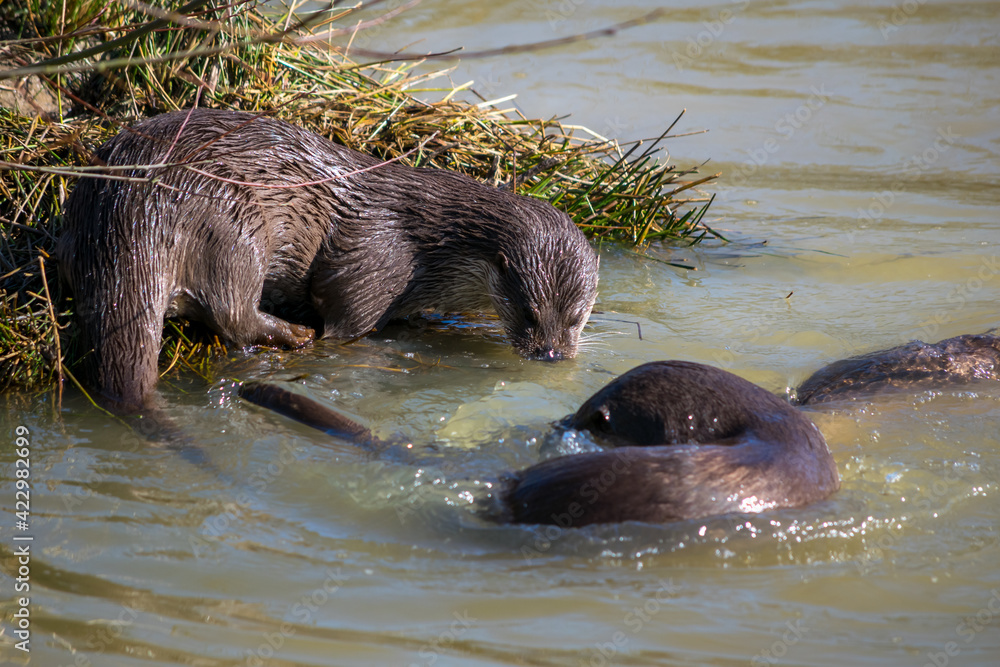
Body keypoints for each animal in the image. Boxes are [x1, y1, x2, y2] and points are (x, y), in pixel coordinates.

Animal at [57, 108, 599, 414]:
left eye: (576, 318)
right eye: (528, 312)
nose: (551, 353)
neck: (431, 246)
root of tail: (135, 207)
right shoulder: (374, 267)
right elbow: (343, 321)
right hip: (236, 224)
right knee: (231, 311)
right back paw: (293, 334)